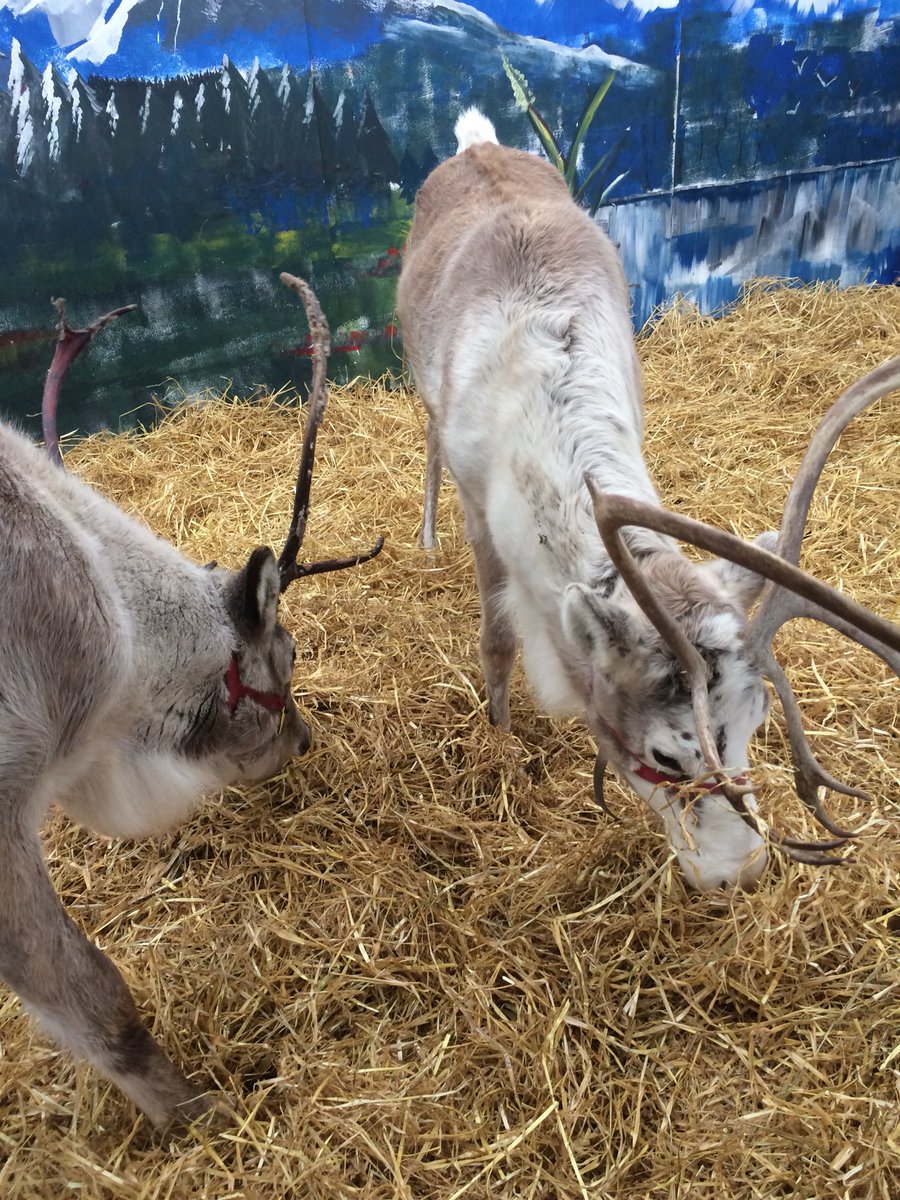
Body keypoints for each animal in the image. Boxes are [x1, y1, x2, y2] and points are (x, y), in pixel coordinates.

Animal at [396, 108, 900, 891]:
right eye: (667, 755)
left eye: (757, 725)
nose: (738, 873)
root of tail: (476, 143)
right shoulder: (483, 514)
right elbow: (497, 641)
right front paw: (500, 741)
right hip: (421, 376)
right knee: (424, 435)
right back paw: (423, 536)